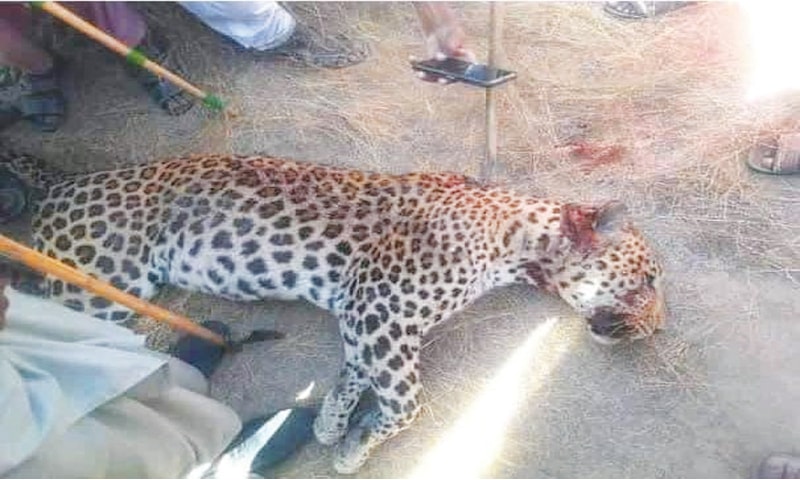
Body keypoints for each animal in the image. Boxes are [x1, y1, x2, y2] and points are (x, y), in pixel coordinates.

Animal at [0, 148, 666, 473]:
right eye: (649, 279)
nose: (659, 327)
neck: (516, 240)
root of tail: (66, 180)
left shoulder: (364, 313)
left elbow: (355, 374)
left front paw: (331, 426)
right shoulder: (382, 304)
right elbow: (407, 402)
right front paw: (355, 447)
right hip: (95, 284)